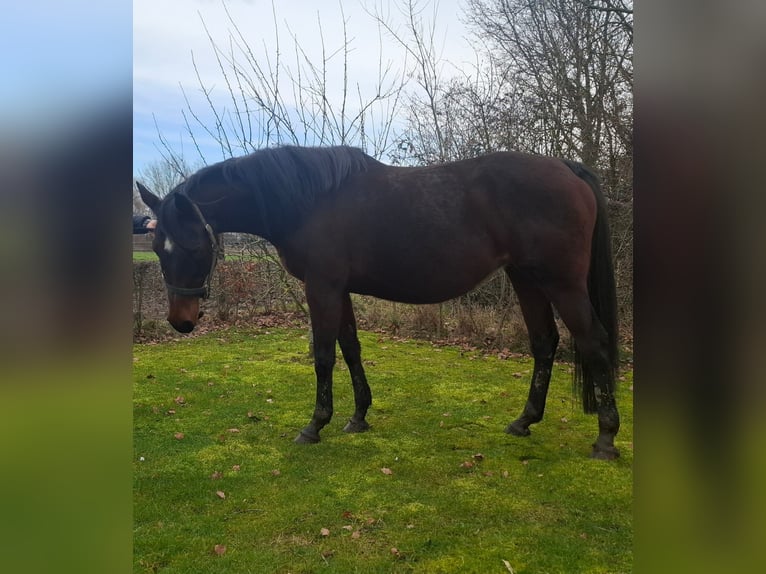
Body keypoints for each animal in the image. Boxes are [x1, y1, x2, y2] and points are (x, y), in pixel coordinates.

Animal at [137, 145, 620, 459]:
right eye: (158, 247)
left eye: (192, 247)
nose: (181, 321)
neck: (308, 201)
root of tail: (567, 168)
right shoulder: (339, 289)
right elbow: (351, 348)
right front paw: (358, 417)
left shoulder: (323, 287)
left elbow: (323, 355)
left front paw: (315, 425)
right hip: (526, 278)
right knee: (544, 342)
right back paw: (524, 421)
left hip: (561, 282)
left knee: (594, 343)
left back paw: (606, 439)